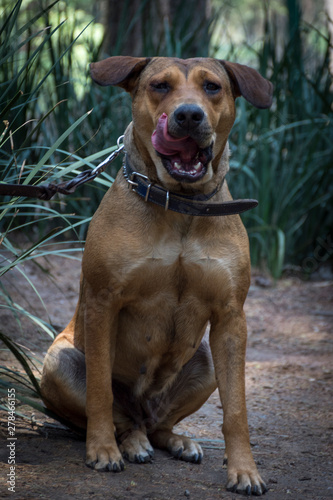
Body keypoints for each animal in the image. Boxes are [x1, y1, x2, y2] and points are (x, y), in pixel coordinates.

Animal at [40, 56, 272, 494]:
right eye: (160, 86)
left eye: (212, 86)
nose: (188, 114)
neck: (179, 204)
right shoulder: (103, 302)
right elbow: (100, 391)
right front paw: (102, 451)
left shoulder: (231, 319)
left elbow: (236, 410)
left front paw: (245, 470)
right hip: (60, 362)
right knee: (123, 418)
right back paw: (129, 443)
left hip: (206, 361)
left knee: (158, 424)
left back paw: (177, 441)